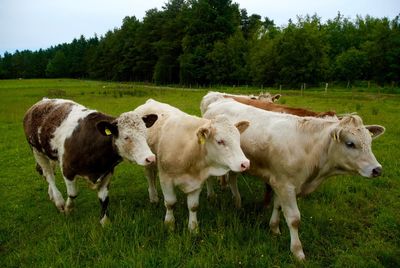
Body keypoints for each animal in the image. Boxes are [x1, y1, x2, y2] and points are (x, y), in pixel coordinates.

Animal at [22, 97, 158, 225]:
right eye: (126, 137)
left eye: (145, 133)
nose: (150, 158)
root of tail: (42, 102)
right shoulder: (67, 168)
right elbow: (73, 193)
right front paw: (68, 209)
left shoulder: (107, 171)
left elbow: (104, 199)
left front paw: (104, 222)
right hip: (36, 150)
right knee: (49, 175)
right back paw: (58, 200)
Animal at [137, 99, 250, 231]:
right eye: (219, 141)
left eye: (238, 139)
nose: (245, 163)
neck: (188, 150)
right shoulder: (166, 178)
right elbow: (170, 203)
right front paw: (169, 223)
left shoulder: (197, 181)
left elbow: (193, 206)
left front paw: (193, 228)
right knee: (150, 176)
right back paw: (154, 197)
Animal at [202, 94, 386, 260]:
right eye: (350, 144)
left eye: (370, 142)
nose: (377, 169)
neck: (309, 149)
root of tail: (218, 101)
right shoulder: (286, 186)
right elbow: (294, 219)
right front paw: (297, 252)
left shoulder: (280, 182)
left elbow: (278, 206)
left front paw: (274, 228)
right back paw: (211, 196)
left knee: (233, 177)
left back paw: (237, 201)